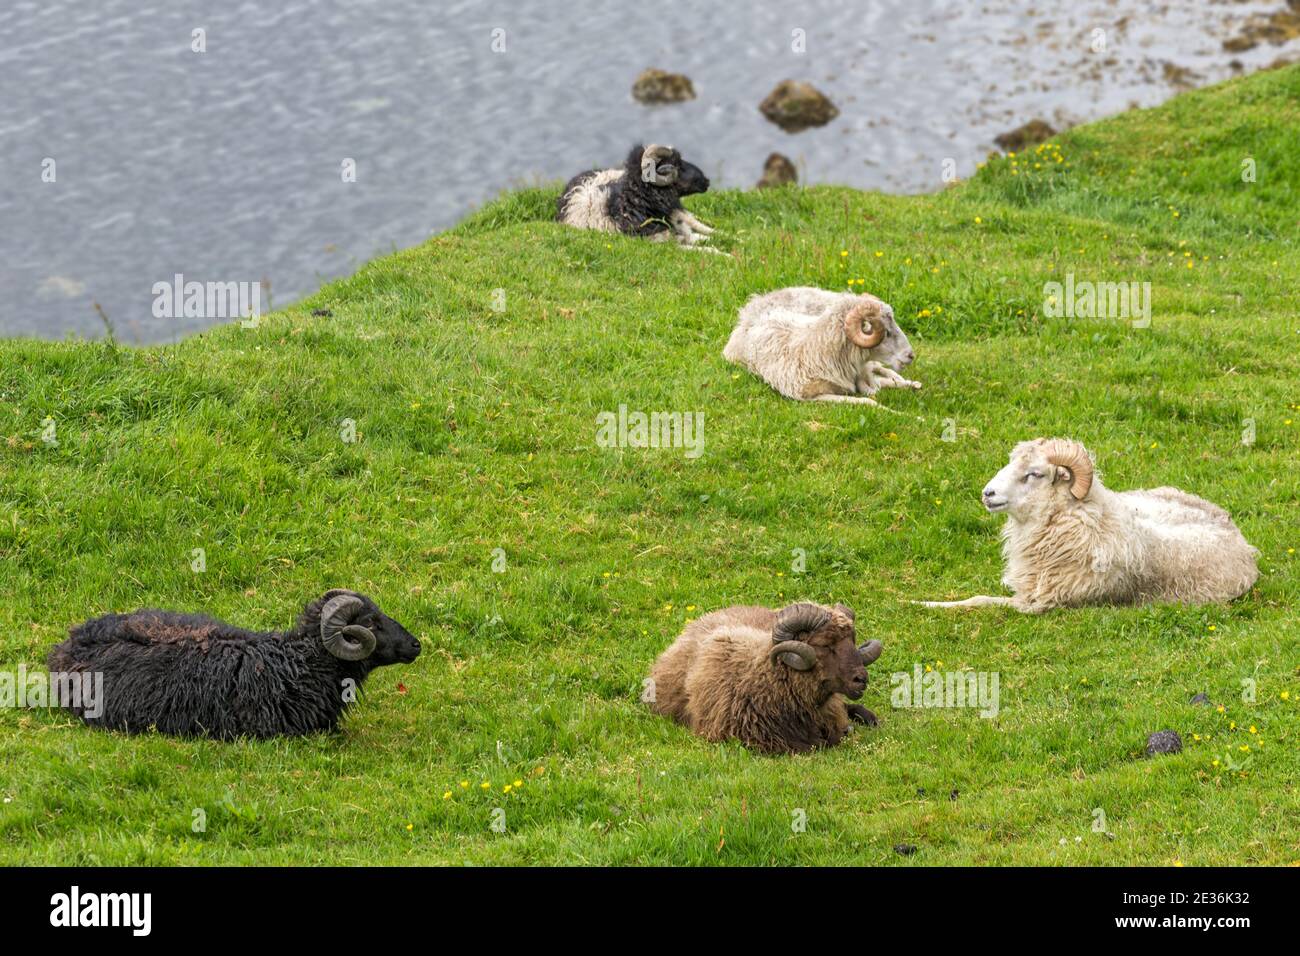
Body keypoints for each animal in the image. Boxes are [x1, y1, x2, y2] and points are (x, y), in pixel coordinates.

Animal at [915, 439, 1258, 613]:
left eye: (1034, 473)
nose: (987, 493)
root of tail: (1237, 533)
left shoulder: (1039, 604)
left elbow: (979, 600)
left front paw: (922, 603)